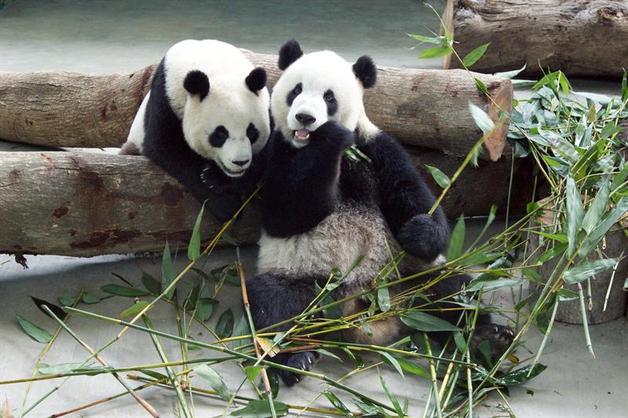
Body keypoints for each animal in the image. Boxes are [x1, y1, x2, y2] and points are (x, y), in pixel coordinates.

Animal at [121, 40, 272, 220]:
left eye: (251, 132)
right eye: (220, 134)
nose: (240, 162)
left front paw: (219, 179)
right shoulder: (166, 97)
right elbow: (167, 147)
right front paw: (225, 204)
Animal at [248, 40, 512, 386]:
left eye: (329, 97)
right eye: (296, 90)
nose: (305, 118)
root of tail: (362, 310)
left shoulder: (375, 147)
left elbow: (410, 193)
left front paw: (419, 232)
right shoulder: (277, 150)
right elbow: (285, 213)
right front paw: (328, 141)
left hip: (407, 274)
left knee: (452, 291)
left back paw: (487, 338)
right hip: (306, 279)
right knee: (275, 306)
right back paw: (295, 358)